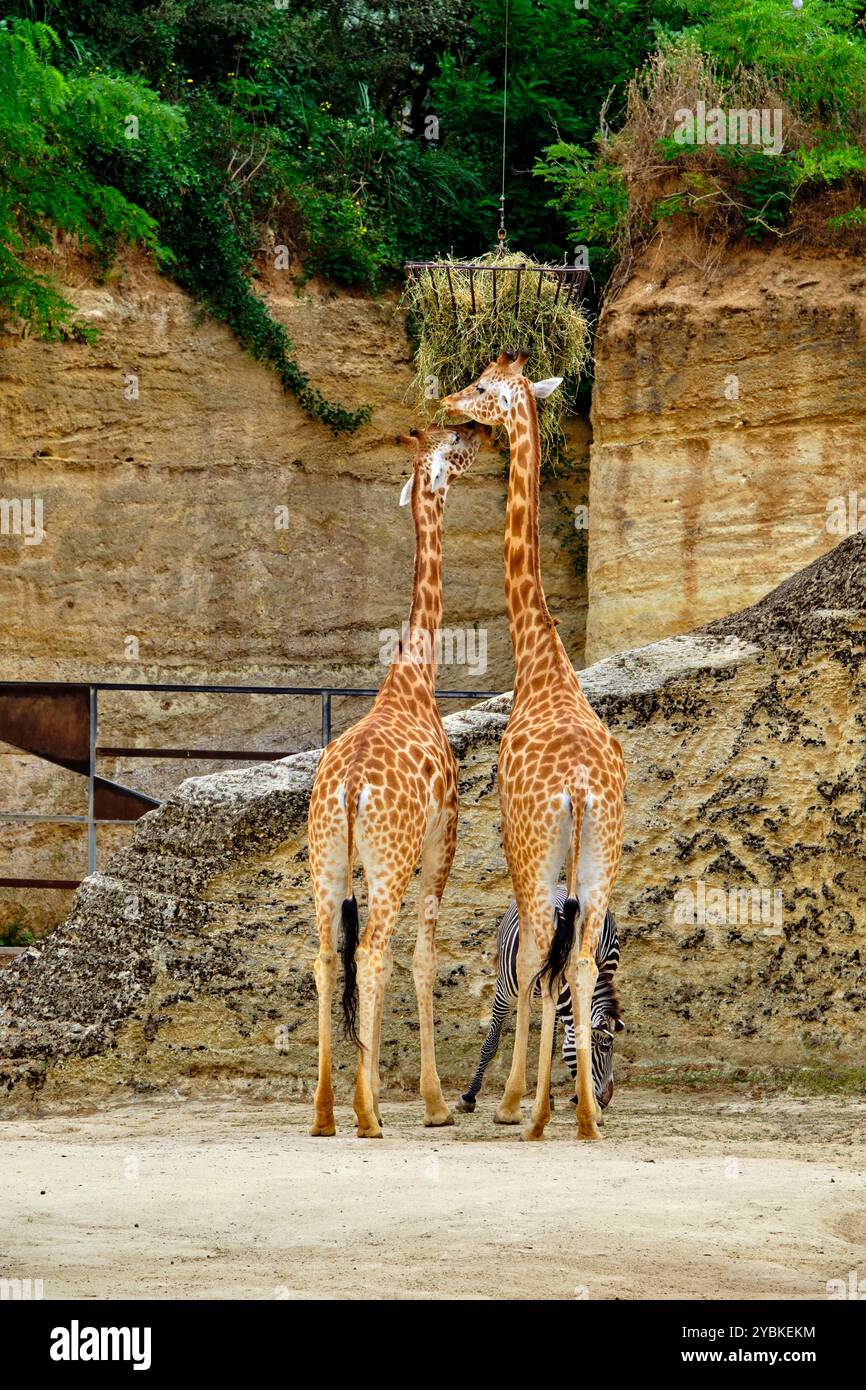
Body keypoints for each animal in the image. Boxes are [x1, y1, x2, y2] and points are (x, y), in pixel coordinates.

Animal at [308, 417, 492, 1134]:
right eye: (454, 447)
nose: (480, 435)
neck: (414, 682)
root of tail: (349, 786)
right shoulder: (443, 839)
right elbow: (423, 957)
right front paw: (434, 1102)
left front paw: (382, 1089)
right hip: (389, 860)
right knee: (373, 952)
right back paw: (365, 1117)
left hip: (326, 860)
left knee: (328, 957)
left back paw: (326, 1113)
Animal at [453, 889, 622, 1117]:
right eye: (603, 1048)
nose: (605, 1100)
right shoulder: (504, 994)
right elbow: (490, 1044)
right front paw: (469, 1096)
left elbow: (550, 1048)